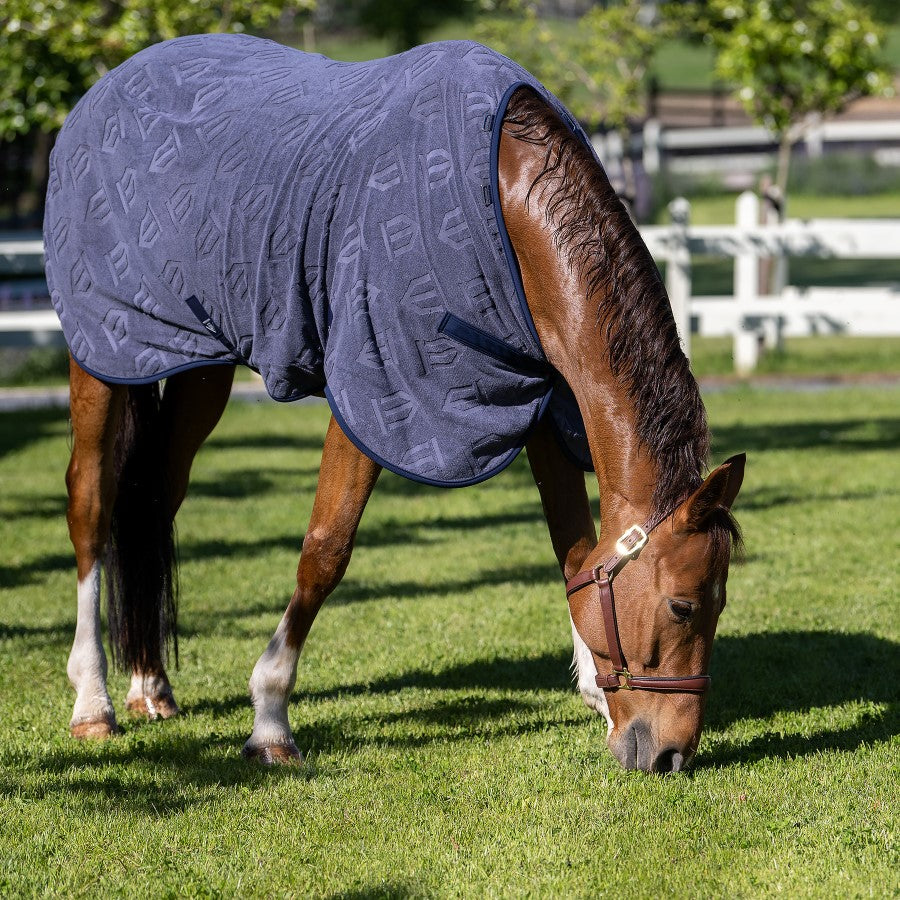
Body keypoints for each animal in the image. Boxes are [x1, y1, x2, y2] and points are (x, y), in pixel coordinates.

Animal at [45, 35, 744, 773]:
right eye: (682, 607)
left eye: (720, 603)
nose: (671, 755)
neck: (504, 204)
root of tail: (110, 84)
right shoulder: (375, 395)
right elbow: (326, 549)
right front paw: (270, 719)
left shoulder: (536, 397)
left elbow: (576, 547)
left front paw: (596, 693)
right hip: (104, 351)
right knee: (90, 503)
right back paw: (92, 702)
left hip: (194, 364)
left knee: (155, 499)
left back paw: (150, 684)